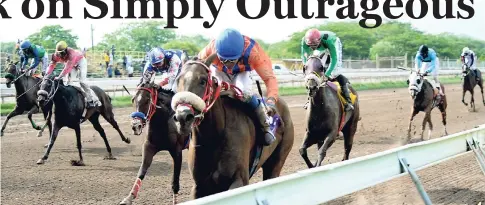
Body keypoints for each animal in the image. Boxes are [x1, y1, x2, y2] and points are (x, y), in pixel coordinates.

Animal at [168, 55, 294, 199]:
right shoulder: (199, 186)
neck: (214, 138)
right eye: (178, 80)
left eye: (203, 80)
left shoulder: (240, 180)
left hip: (276, 162)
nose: (183, 117)